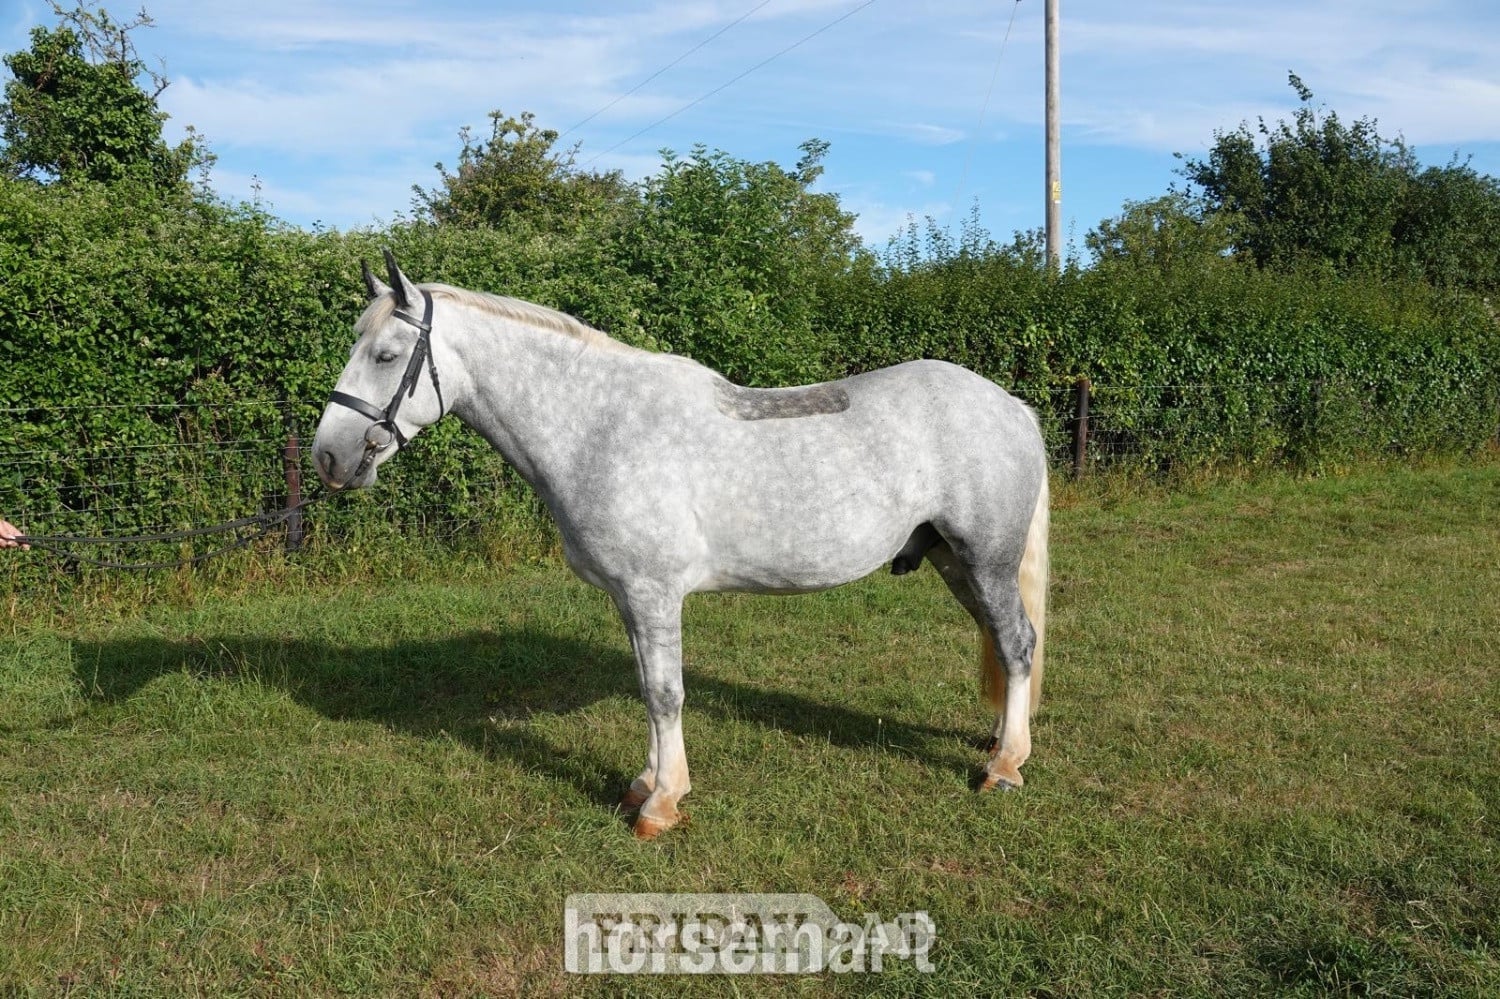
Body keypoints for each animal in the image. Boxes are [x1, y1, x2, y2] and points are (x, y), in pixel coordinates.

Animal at [312, 251, 1050, 840]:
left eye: (384, 355)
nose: (329, 457)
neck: (599, 426)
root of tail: (1010, 405)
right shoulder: (631, 598)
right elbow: (647, 685)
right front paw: (644, 783)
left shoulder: (653, 591)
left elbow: (665, 693)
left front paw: (661, 805)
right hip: (955, 561)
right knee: (1005, 641)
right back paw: (999, 742)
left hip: (986, 558)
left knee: (1017, 643)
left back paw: (1004, 767)